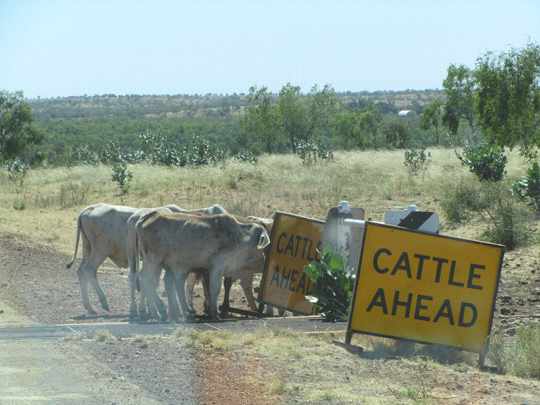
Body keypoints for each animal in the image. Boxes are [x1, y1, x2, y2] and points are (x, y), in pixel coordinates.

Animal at [135, 210, 270, 320]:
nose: (264, 258)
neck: (239, 235)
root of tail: (147, 217)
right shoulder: (218, 265)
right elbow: (215, 289)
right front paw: (214, 313)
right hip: (153, 259)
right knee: (146, 277)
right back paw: (160, 309)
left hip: (152, 261)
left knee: (150, 280)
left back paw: (158, 312)